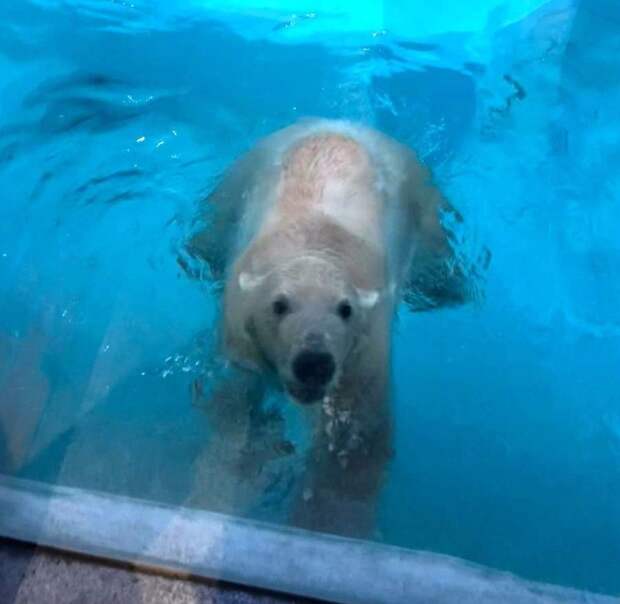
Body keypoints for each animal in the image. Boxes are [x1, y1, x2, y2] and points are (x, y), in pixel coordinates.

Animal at [186, 119, 468, 536]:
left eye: (345, 309)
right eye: (279, 305)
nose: (313, 361)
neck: (316, 243)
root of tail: (343, 123)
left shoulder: (361, 356)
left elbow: (356, 440)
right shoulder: (240, 338)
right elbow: (233, 407)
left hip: (420, 193)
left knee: (436, 252)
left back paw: (447, 287)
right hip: (245, 171)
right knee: (215, 224)